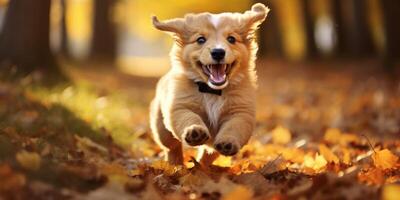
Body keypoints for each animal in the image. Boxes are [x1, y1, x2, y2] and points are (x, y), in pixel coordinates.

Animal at [150, 3, 268, 166]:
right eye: (200, 40)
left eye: (231, 39)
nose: (218, 52)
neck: (213, 91)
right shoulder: (180, 107)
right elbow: (189, 117)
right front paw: (195, 131)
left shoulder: (241, 113)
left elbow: (234, 127)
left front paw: (228, 142)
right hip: (161, 128)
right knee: (171, 146)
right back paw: (175, 164)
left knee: (208, 154)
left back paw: (201, 167)